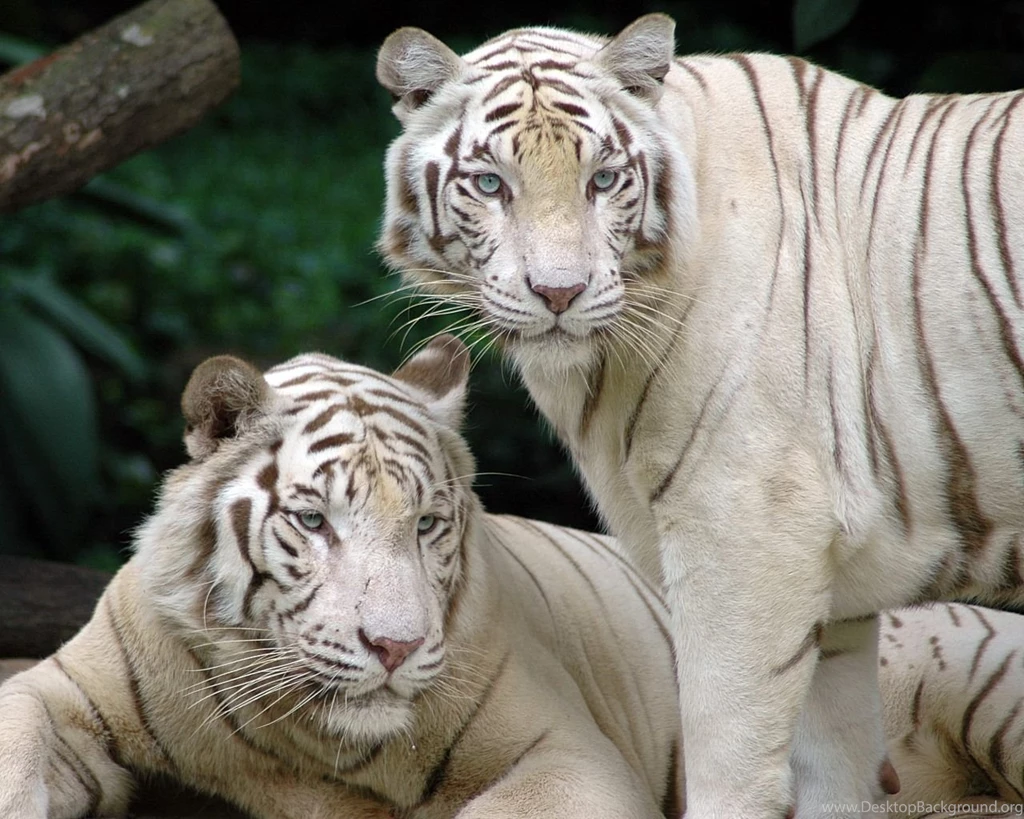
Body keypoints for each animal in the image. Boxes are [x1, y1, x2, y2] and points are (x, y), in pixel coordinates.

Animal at [0, 335, 682, 819]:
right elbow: (16, 739)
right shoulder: (62, 685)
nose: (395, 648)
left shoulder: (568, 753)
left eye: (426, 523)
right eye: (313, 520)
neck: (306, 742)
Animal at [374, 13, 1024, 819]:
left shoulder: (745, 536)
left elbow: (728, 759)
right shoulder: (835, 602)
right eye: (492, 183)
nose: (559, 293)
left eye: (603, 179)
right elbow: (835, 770)